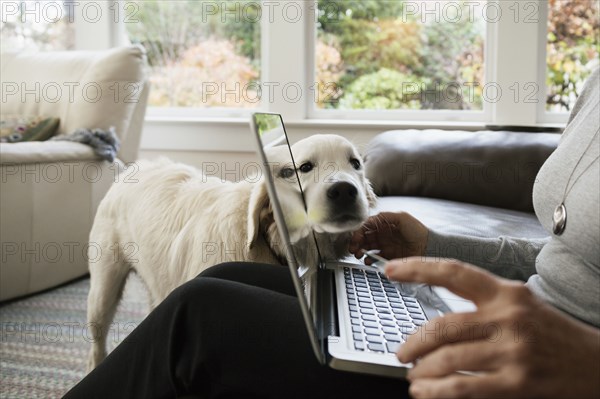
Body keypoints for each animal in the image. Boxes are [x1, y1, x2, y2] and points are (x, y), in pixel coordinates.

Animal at [85, 135, 376, 372]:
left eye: (355, 163)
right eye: (304, 168)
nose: (344, 191)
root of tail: (132, 168)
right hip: (103, 291)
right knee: (97, 345)